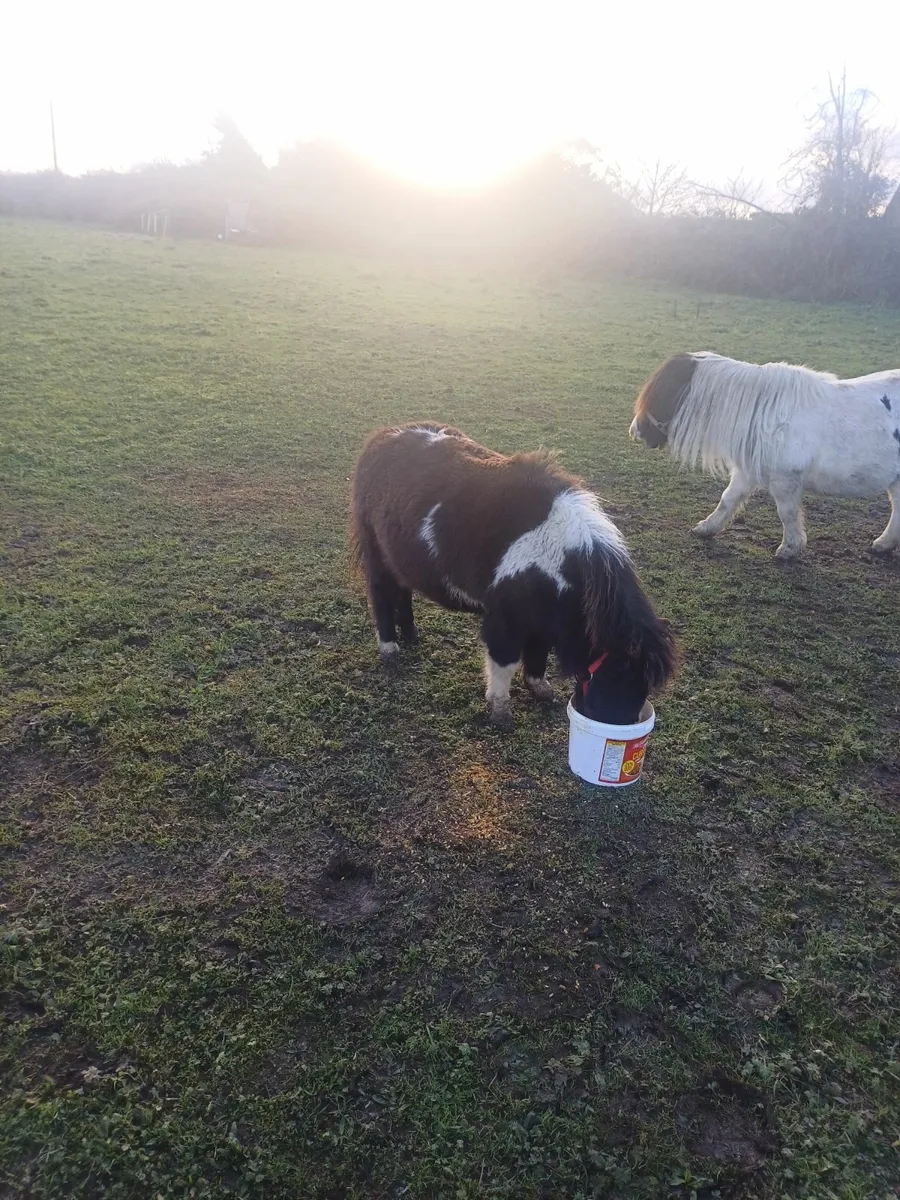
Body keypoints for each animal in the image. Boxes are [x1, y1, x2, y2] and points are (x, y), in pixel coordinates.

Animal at [350, 422, 677, 728]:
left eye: (643, 688)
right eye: (615, 680)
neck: (563, 558)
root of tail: (382, 437)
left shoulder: (542, 618)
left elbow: (538, 652)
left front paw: (539, 688)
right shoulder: (506, 620)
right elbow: (504, 661)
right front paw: (501, 711)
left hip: (399, 558)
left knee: (402, 591)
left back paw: (411, 634)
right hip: (375, 552)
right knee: (380, 594)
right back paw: (390, 647)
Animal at [630, 351, 900, 559]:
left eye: (663, 394)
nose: (635, 431)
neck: (767, 414)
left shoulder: (785, 481)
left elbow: (787, 513)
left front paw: (790, 548)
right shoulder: (746, 472)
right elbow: (727, 500)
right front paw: (706, 528)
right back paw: (884, 544)